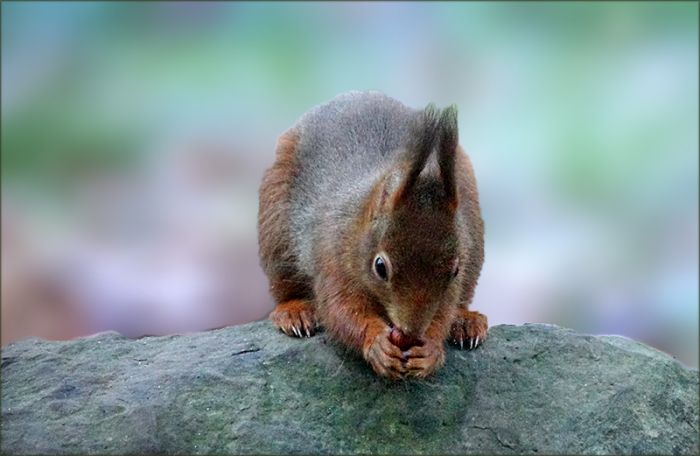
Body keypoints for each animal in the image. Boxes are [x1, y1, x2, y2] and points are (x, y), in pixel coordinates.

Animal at [258, 91, 487, 379]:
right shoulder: (333, 257)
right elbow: (341, 310)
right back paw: (294, 312)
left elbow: (443, 312)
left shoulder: (458, 270)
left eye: (455, 270)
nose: (411, 331)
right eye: (380, 267)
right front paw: (377, 343)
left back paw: (466, 321)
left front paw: (431, 349)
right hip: (276, 228)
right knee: (285, 285)